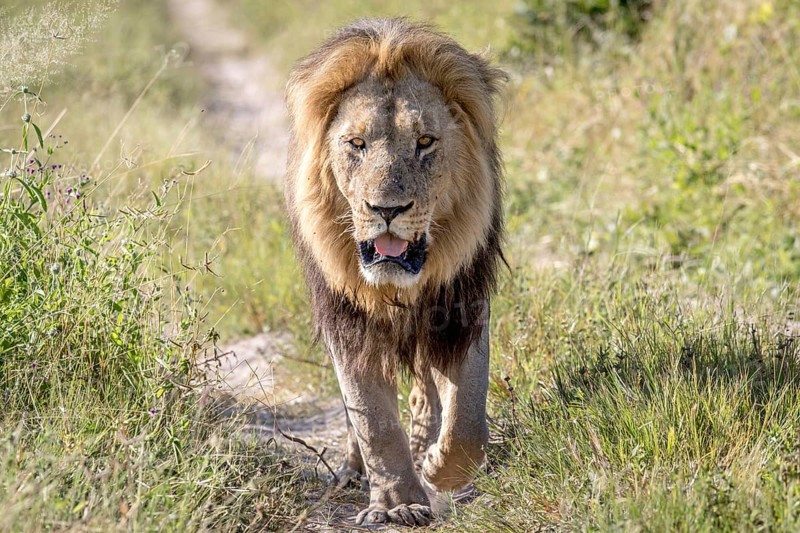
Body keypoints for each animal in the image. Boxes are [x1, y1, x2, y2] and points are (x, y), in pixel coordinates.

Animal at [284, 18, 506, 527]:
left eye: (424, 142)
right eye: (357, 144)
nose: (386, 210)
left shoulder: (461, 308)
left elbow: (467, 418)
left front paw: (439, 469)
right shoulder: (347, 321)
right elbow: (372, 418)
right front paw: (397, 502)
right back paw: (354, 470)